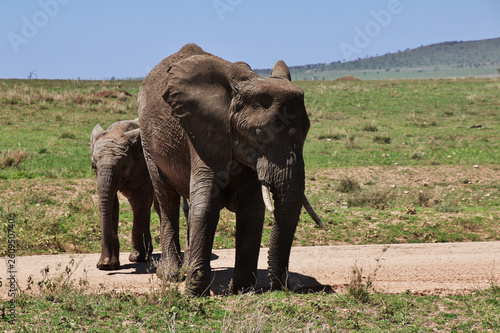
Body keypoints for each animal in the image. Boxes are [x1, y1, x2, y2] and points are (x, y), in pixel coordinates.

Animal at [90, 118, 156, 268]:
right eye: (93, 166)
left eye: (124, 166)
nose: (105, 263)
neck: (118, 130)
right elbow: (112, 203)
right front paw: (107, 265)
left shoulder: (144, 167)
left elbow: (141, 202)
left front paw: (137, 258)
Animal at [139, 42, 322, 294]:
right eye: (259, 133)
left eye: (307, 131)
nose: (283, 284)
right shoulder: (205, 132)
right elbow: (206, 204)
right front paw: (195, 291)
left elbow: (252, 210)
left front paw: (241, 289)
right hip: (148, 141)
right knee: (167, 200)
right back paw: (171, 275)